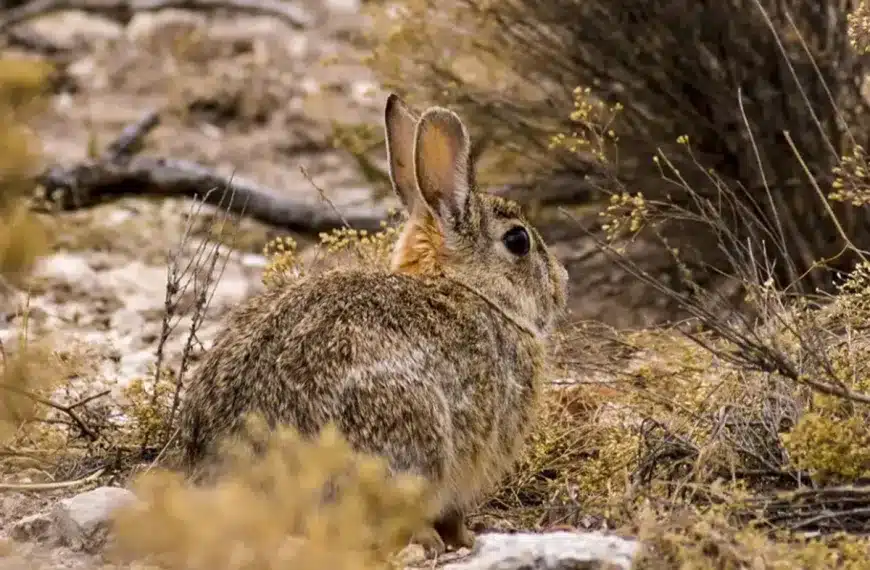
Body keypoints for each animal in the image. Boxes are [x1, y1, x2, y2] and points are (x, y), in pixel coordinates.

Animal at [178, 93, 570, 556]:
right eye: (518, 241)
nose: (562, 283)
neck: (466, 287)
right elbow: (455, 511)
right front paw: (467, 539)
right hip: (406, 429)